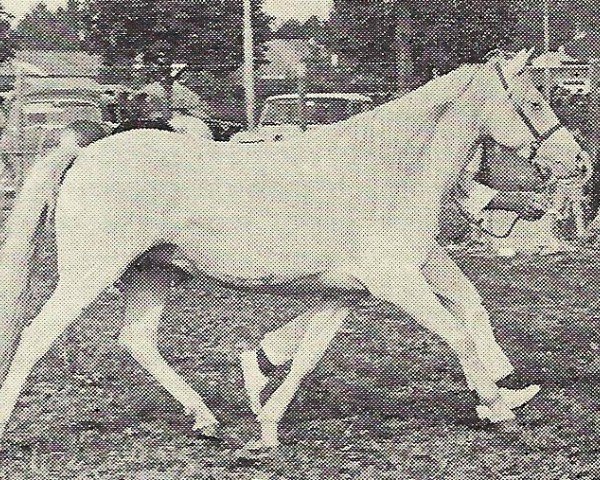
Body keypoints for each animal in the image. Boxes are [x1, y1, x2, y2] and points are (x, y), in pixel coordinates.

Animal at [0, 48, 584, 446]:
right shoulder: (393, 280)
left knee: (137, 339)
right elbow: (454, 331)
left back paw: (208, 421)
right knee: (35, 335)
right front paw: (500, 406)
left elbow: (306, 354)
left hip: (155, 273)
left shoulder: (343, 293)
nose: (578, 161)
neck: (389, 166)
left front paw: (266, 424)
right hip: (88, 274)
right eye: (534, 101)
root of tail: (85, 150)